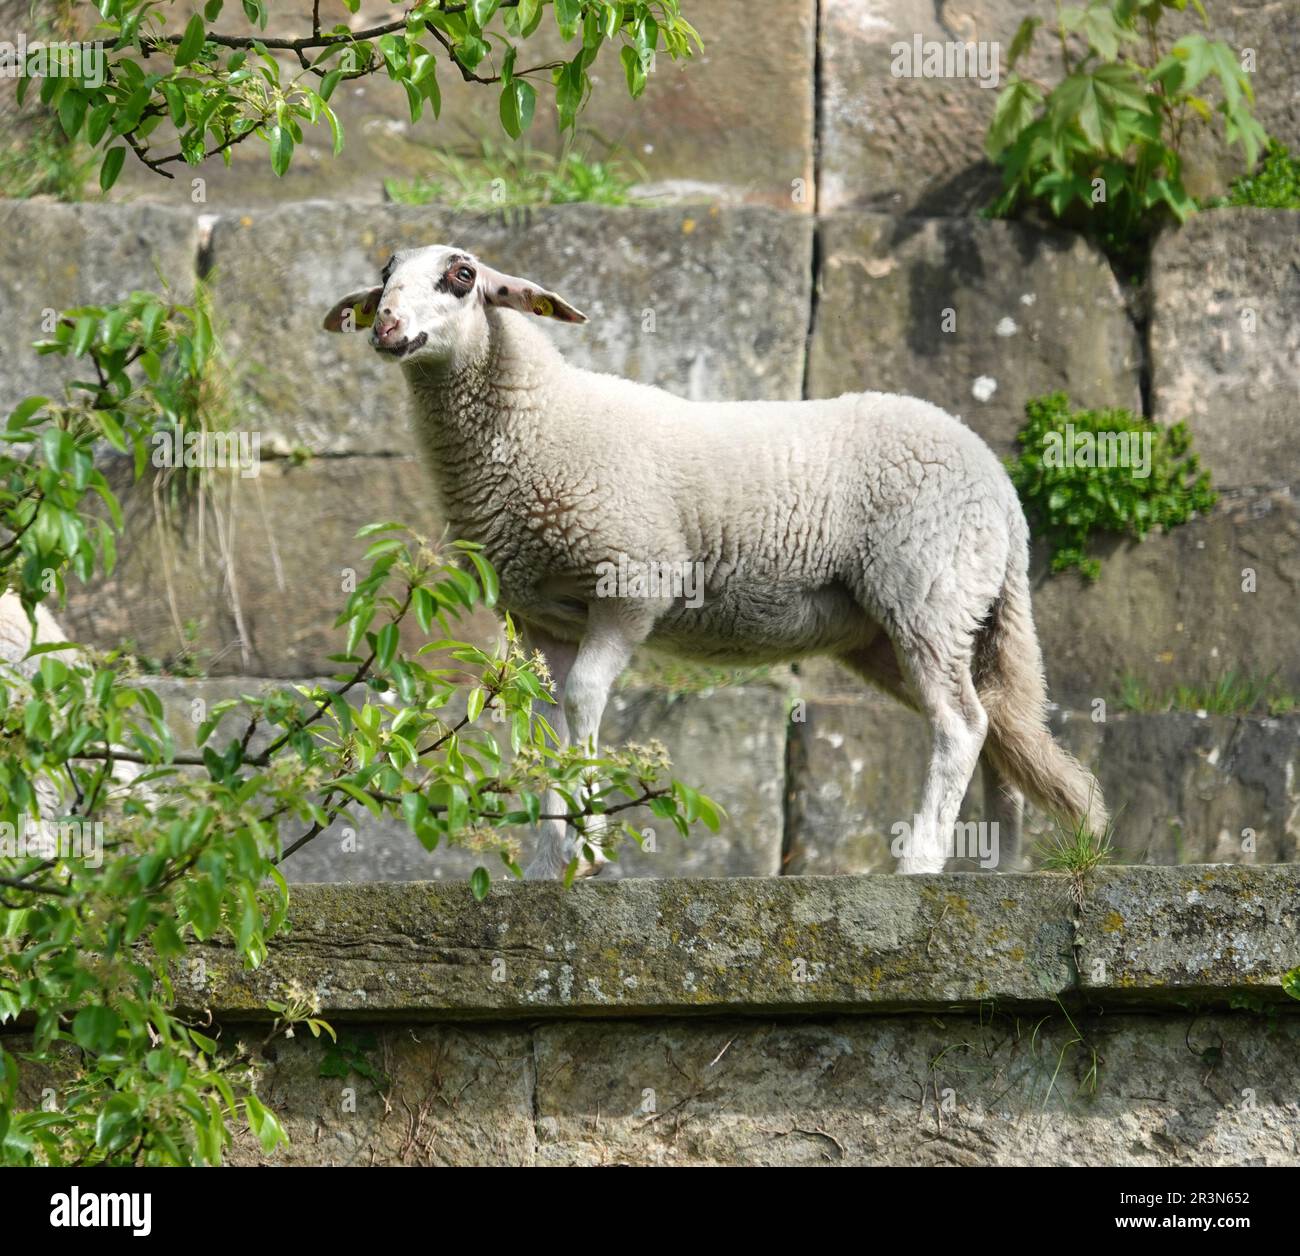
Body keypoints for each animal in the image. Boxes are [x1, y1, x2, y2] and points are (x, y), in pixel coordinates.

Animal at [322, 243, 1107, 873]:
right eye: (384, 277)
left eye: (461, 277)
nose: (386, 327)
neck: (535, 420)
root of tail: (1002, 491)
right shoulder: (540, 614)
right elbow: (549, 729)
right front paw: (551, 858)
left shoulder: (634, 581)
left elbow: (584, 700)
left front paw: (589, 841)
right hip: (914, 622)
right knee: (999, 722)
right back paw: (997, 864)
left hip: (926, 588)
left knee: (961, 726)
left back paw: (919, 864)